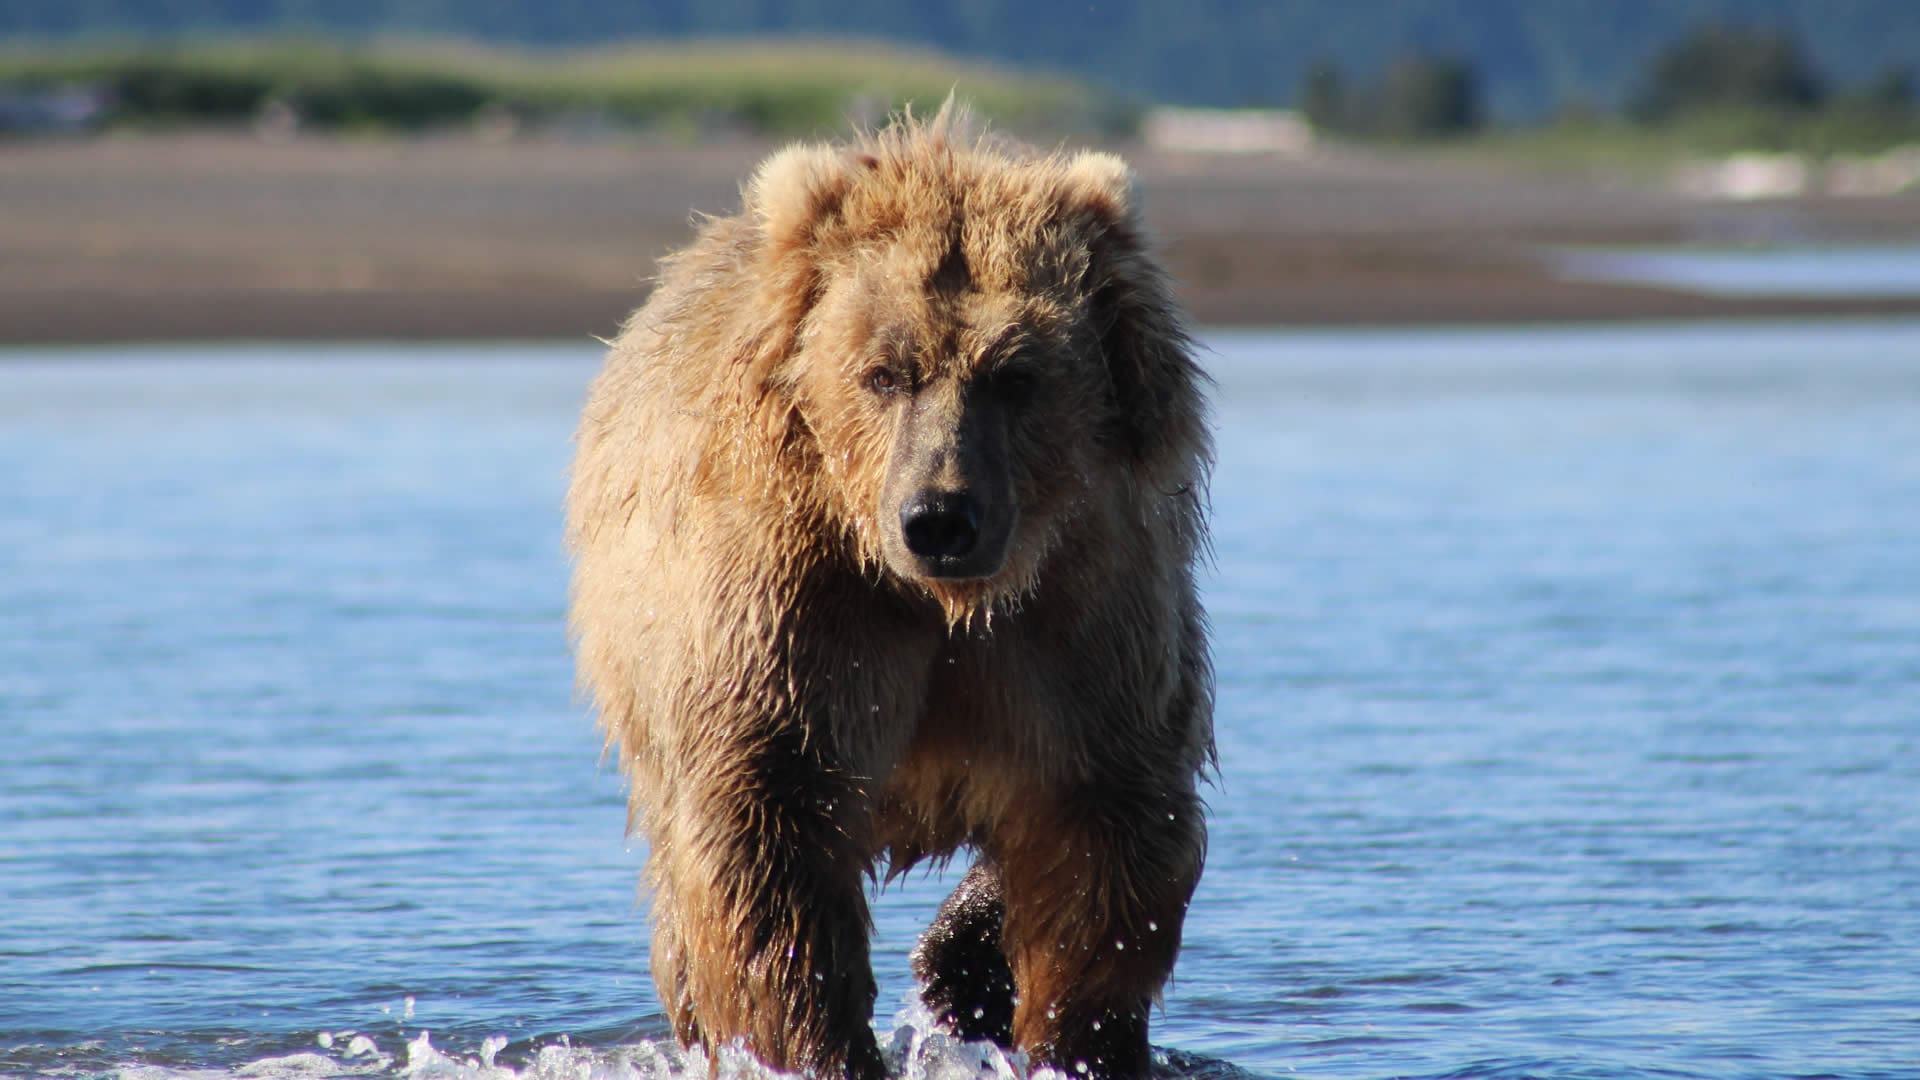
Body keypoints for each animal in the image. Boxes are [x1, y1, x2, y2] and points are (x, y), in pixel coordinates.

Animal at [566, 106, 1212, 1080]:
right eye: (884, 372)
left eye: (1016, 375)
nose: (940, 516)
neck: (943, 603)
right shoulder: (793, 613)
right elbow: (770, 833)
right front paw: (821, 1043)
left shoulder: (1088, 610)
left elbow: (1102, 823)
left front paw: (1067, 1031)